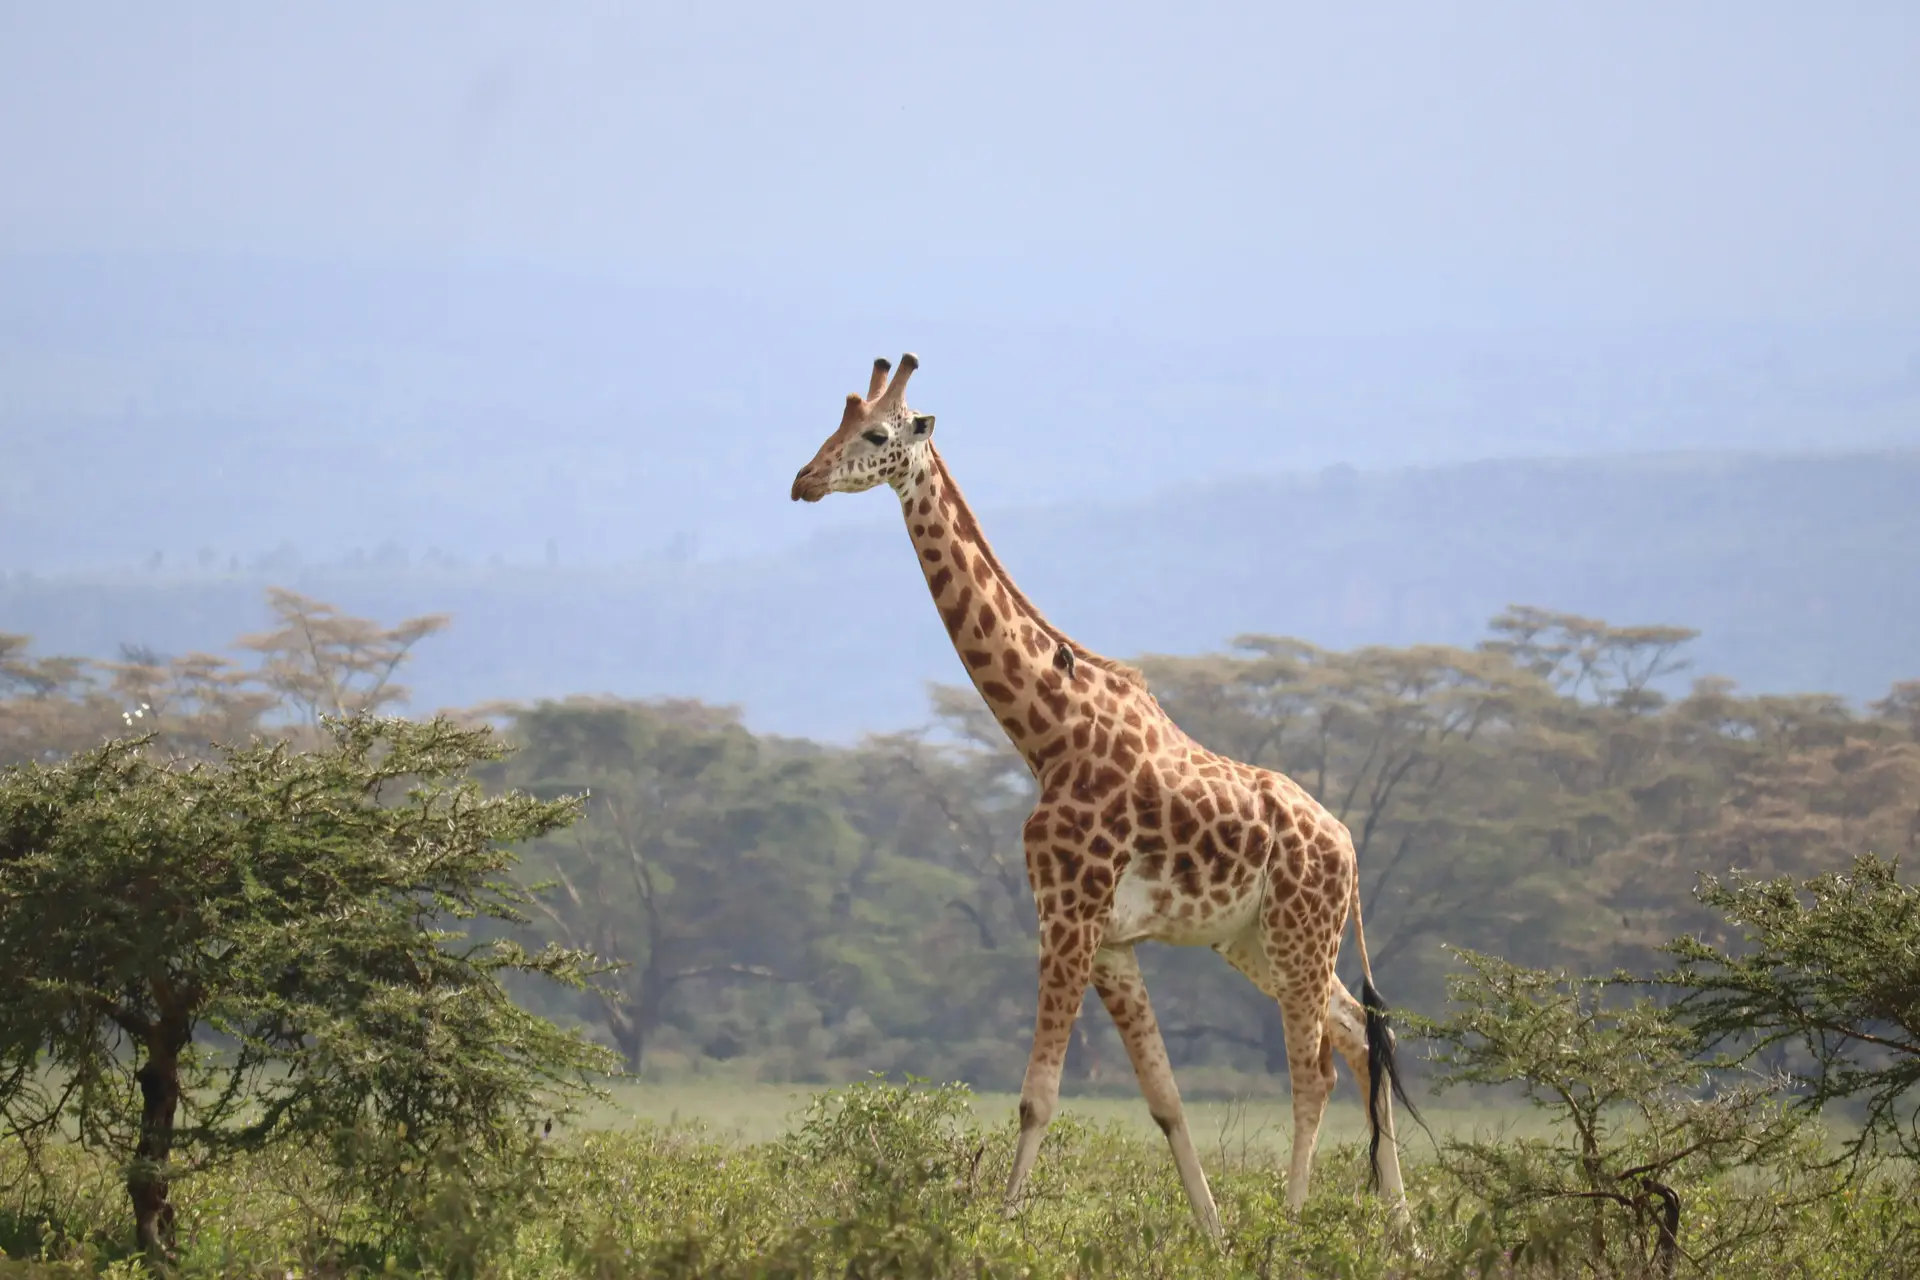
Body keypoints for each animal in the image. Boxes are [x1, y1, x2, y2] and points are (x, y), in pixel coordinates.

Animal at [790, 354, 1418, 1244]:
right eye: (834, 423)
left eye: (876, 434)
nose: (804, 481)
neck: (1048, 734)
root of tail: (1350, 846)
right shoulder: (1112, 941)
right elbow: (1166, 1101)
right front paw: (1214, 1237)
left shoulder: (1068, 915)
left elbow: (1037, 1097)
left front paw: (1001, 1231)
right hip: (1258, 942)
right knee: (1367, 1040)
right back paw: (1408, 1234)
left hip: (1300, 934)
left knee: (1316, 1072)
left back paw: (1293, 1228)